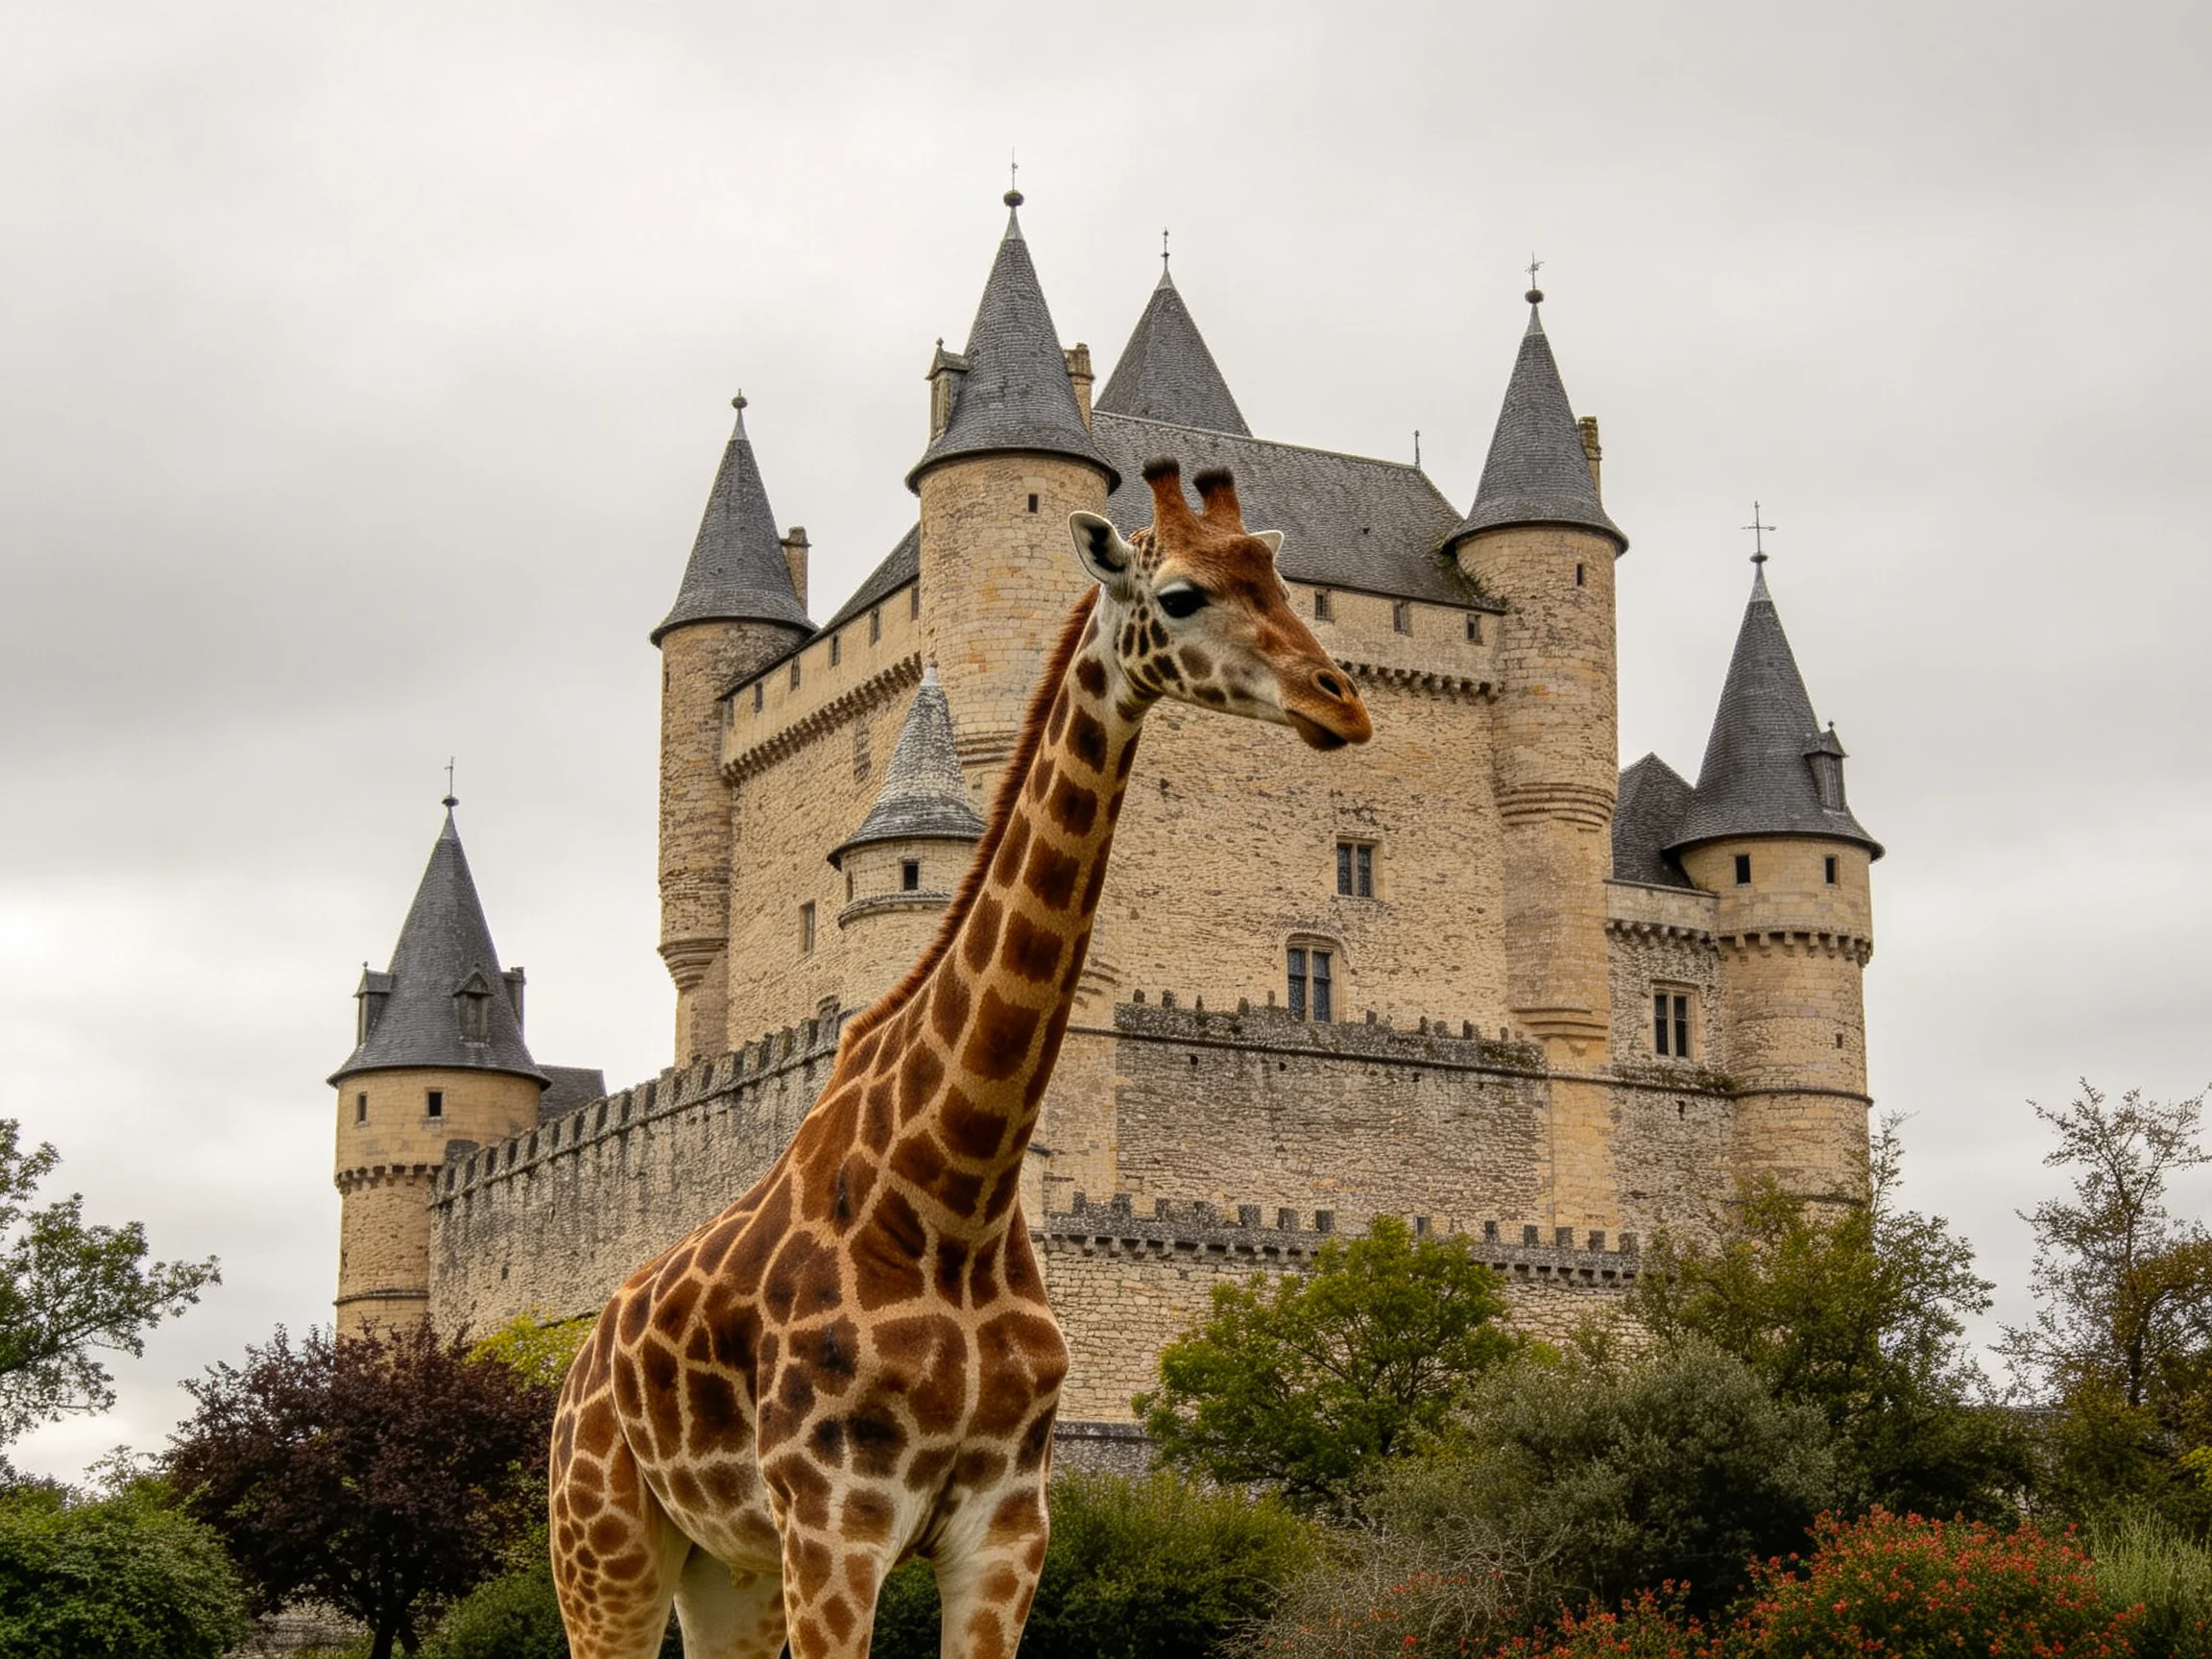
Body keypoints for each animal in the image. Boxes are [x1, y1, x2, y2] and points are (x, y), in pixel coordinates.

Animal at [548, 457, 1372, 1659]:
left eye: (1275, 575)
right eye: (1179, 594)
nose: (1340, 695)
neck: (958, 1195)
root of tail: (577, 1357)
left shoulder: (1007, 1526)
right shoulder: (837, 1526)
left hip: (727, 1569)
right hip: (604, 1545)